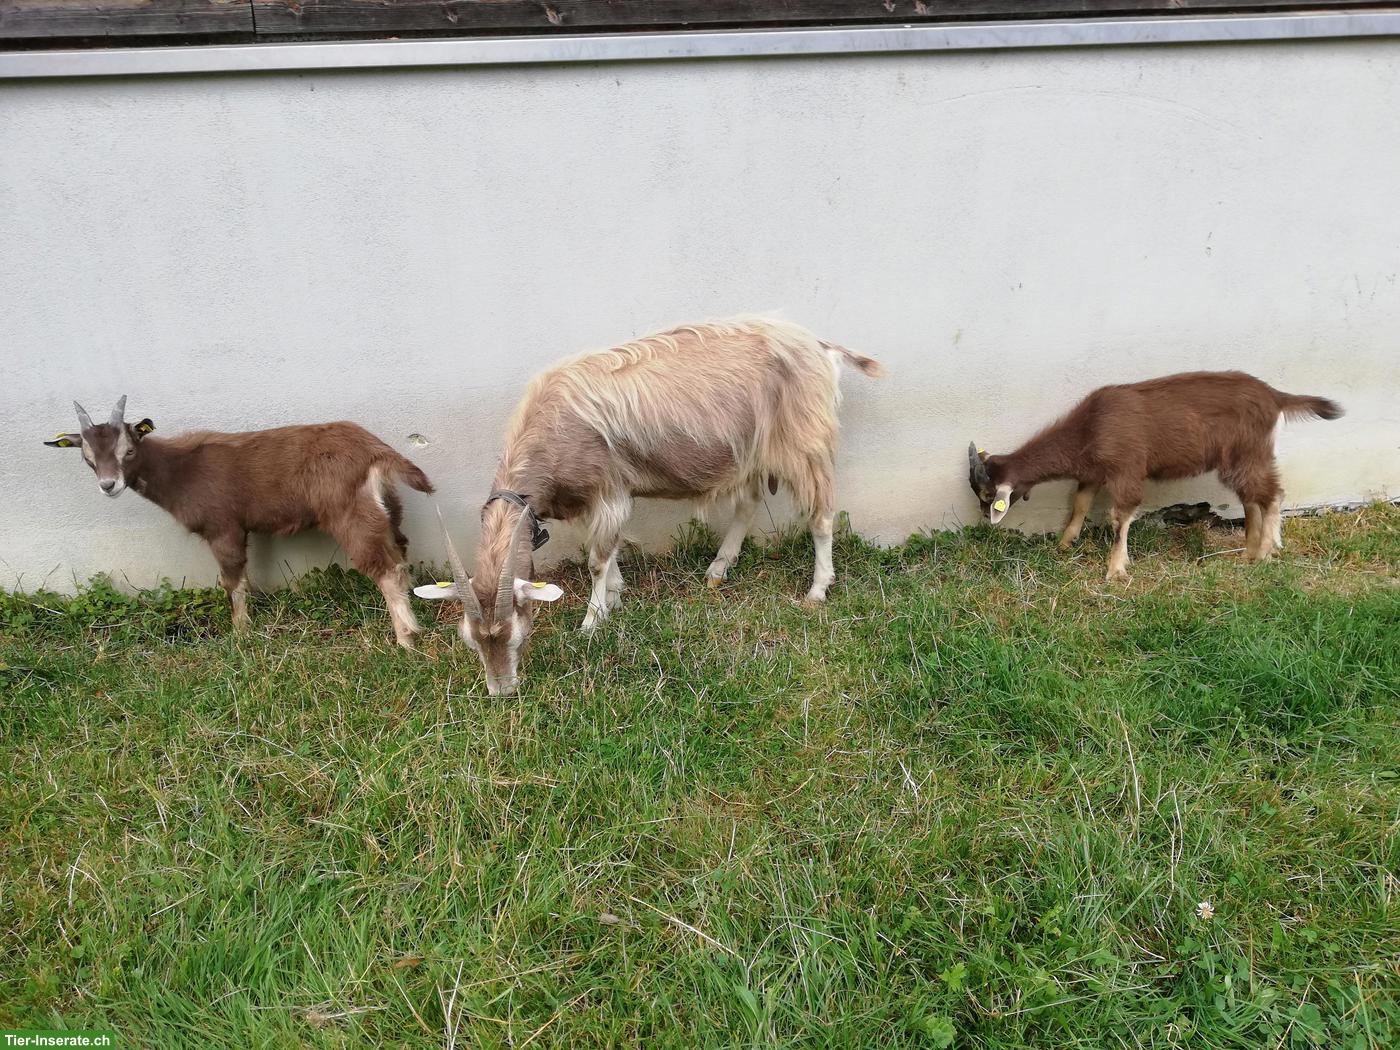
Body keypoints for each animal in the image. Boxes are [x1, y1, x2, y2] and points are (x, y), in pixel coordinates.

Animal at [46, 396, 434, 646]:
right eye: (87, 456)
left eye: (128, 449)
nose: (109, 485)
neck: (179, 470)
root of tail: (375, 449)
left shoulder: (223, 527)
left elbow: (232, 581)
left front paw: (241, 634)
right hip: (386, 506)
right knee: (400, 551)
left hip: (349, 512)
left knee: (385, 569)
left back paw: (405, 638)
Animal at [416, 317, 883, 695]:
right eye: (469, 639)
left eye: (514, 635)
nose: (502, 691)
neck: (551, 426)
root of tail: (821, 347)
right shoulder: (587, 501)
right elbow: (606, 550)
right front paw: (615, 594)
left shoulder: (608, 491)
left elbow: (597, 559)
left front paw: (592, 622)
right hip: (751, 451)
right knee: (749, 502)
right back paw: (718, 569)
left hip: (805, 444)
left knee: (821, 515)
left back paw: (817, 589)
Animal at [967, 371, 1342, 581]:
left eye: (988, 497)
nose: (985, 521)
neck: (1089, 428)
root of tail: (1276, 397)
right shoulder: (1094, 472)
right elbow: (1080, 503)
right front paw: (1064, 543)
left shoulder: (1126, 470)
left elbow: (1120, 517)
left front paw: (1115, 570)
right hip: (1238, 459)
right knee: (1252, 498)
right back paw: (1248, 553)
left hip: (1250, 452)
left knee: (1273, 494)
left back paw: (1266, 551)